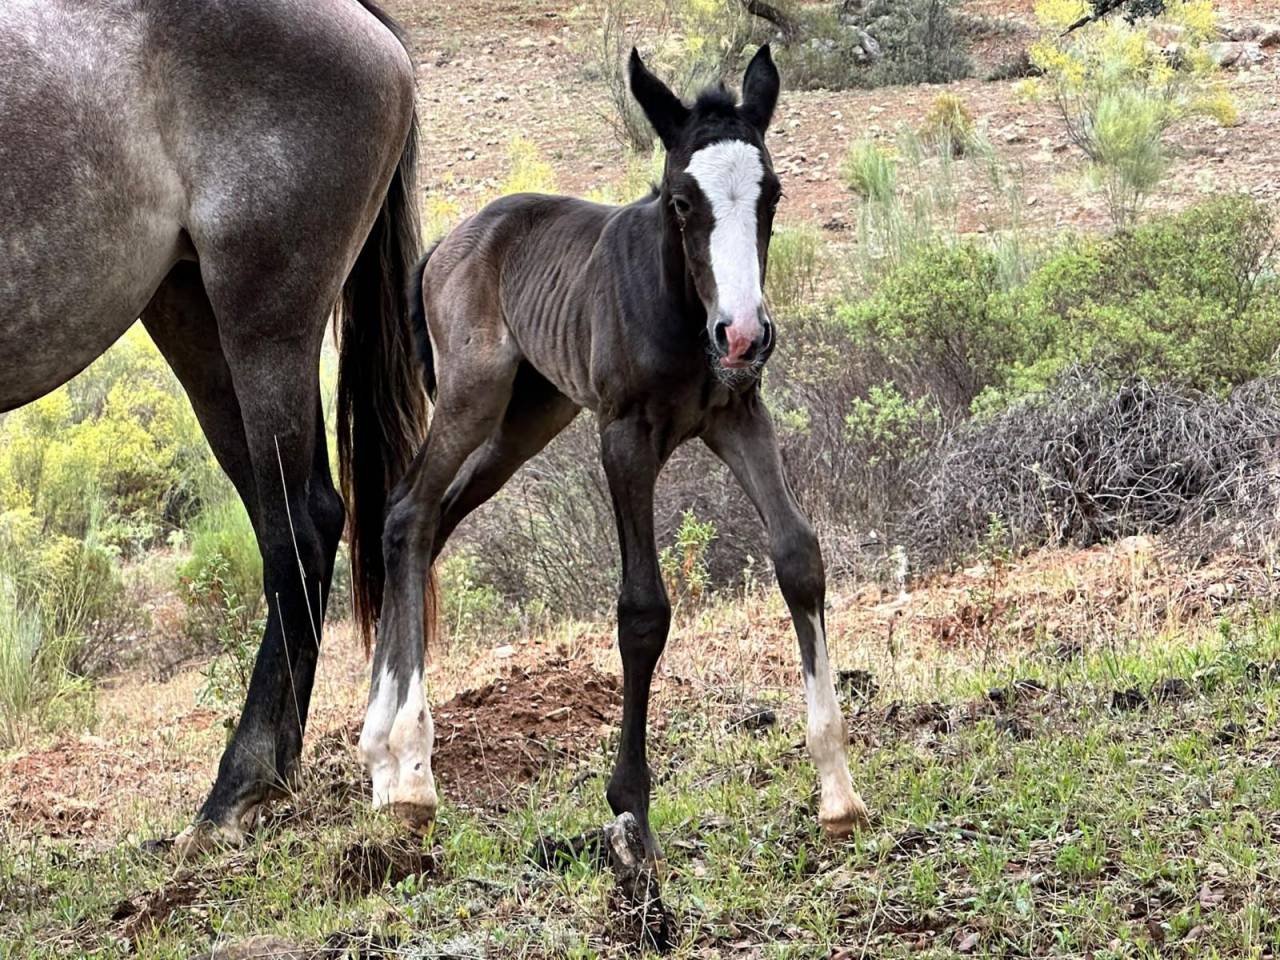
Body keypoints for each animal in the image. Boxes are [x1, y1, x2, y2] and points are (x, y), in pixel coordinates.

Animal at [349, 45, 871, 858]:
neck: (682, 312)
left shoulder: (739, 416)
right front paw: (632, 808)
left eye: (773, 194)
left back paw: (383, 758)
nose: (743, 334)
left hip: (526, 422)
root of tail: (445, 247)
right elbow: (643, 609)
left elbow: (798, 557)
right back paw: (409, 772)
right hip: (473, 395)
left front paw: (838, 791)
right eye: (681, 201)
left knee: (429, 522)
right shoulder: (623, 436)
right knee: (407, 511)